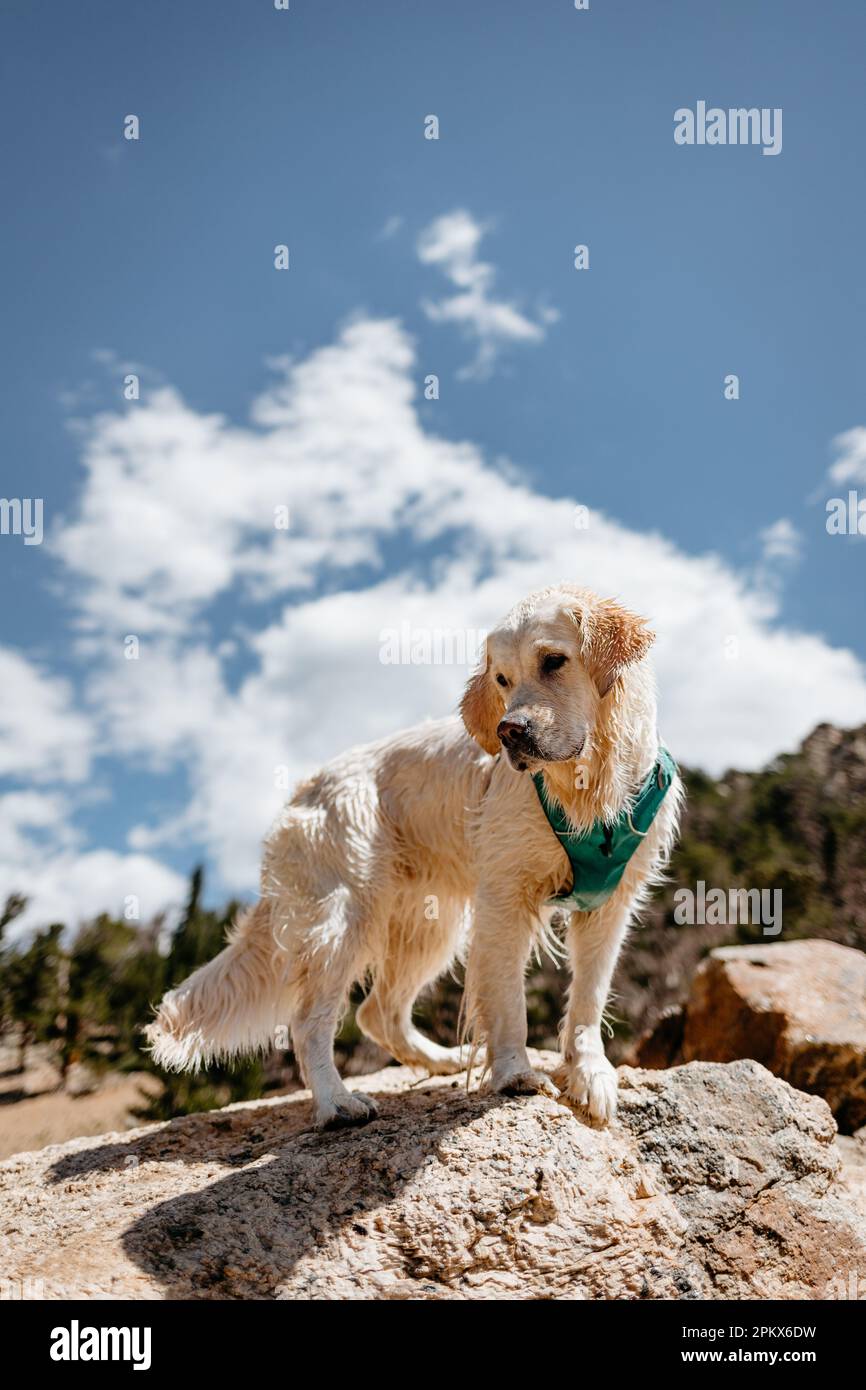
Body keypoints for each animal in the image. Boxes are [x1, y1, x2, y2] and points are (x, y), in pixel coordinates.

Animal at [145, 586, 681, 1128]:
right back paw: (336, 1102)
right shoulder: (505, 898)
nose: (509, 731)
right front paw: (515, 1073)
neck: (587, 786)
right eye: (502, 680)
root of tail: (301, 791)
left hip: (428, 923)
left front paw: (590, 1074)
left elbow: (589, 999)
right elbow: (509, 1001)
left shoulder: (609, 903)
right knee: (309, 1021)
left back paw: (439, 1060)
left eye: (554, 660)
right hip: (342, 917)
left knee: (377, 1012)